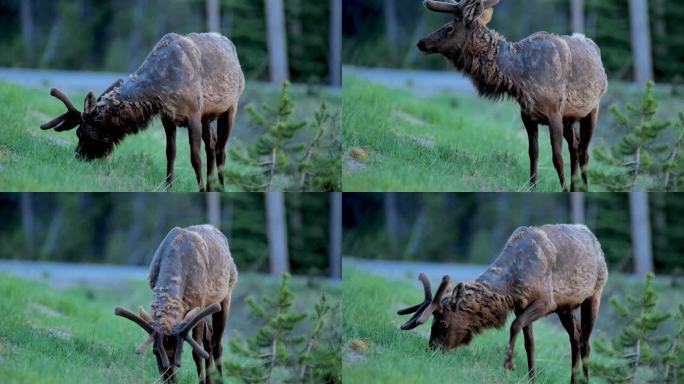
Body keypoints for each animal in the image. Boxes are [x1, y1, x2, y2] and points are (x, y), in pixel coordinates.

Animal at [38, 32, 244, 191]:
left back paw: (220, 187)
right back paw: (212, 186)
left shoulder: (193, 113)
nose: (78, 156)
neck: (162, 86)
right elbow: (171, 153)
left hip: (231, 107)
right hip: (207, 117)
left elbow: (195, 158)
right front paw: (168, 186)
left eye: (80, 133)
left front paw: (199, 189)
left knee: (221, 149)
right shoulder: (168, 118)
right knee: (213, 144)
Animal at [115, 224, 238, 382]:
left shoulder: (198, 303)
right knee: (209, 338)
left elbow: (196, 352)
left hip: (226, 293)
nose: (169, 378)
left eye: (180, 351)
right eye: (155, 351)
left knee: (217, 342)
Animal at [398, 225, 608, 384]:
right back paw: (573, 379)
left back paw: (586, 380)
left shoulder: (546, 301)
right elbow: (530, 343)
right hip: (566, 307)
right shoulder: (522, 305)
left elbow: (515, 325)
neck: (511, 286)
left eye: (443, 323)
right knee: (576, 337)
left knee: (586, 341)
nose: (431, 349)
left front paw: (508, 365)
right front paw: (532, 378)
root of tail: (597, 241)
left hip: (595, 294)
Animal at [420, 0, 608, 192]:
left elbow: (557, 158)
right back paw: (575, 186)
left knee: (584, 151)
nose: (421, 42)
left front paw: (562, 189)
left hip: (592, 110)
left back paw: (583, 187)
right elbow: (533, 153)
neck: (520, 78)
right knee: (575, 146)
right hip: (569, 118)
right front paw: (532, 186)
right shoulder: (528, 115)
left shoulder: (554, 112)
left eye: (449, 28)